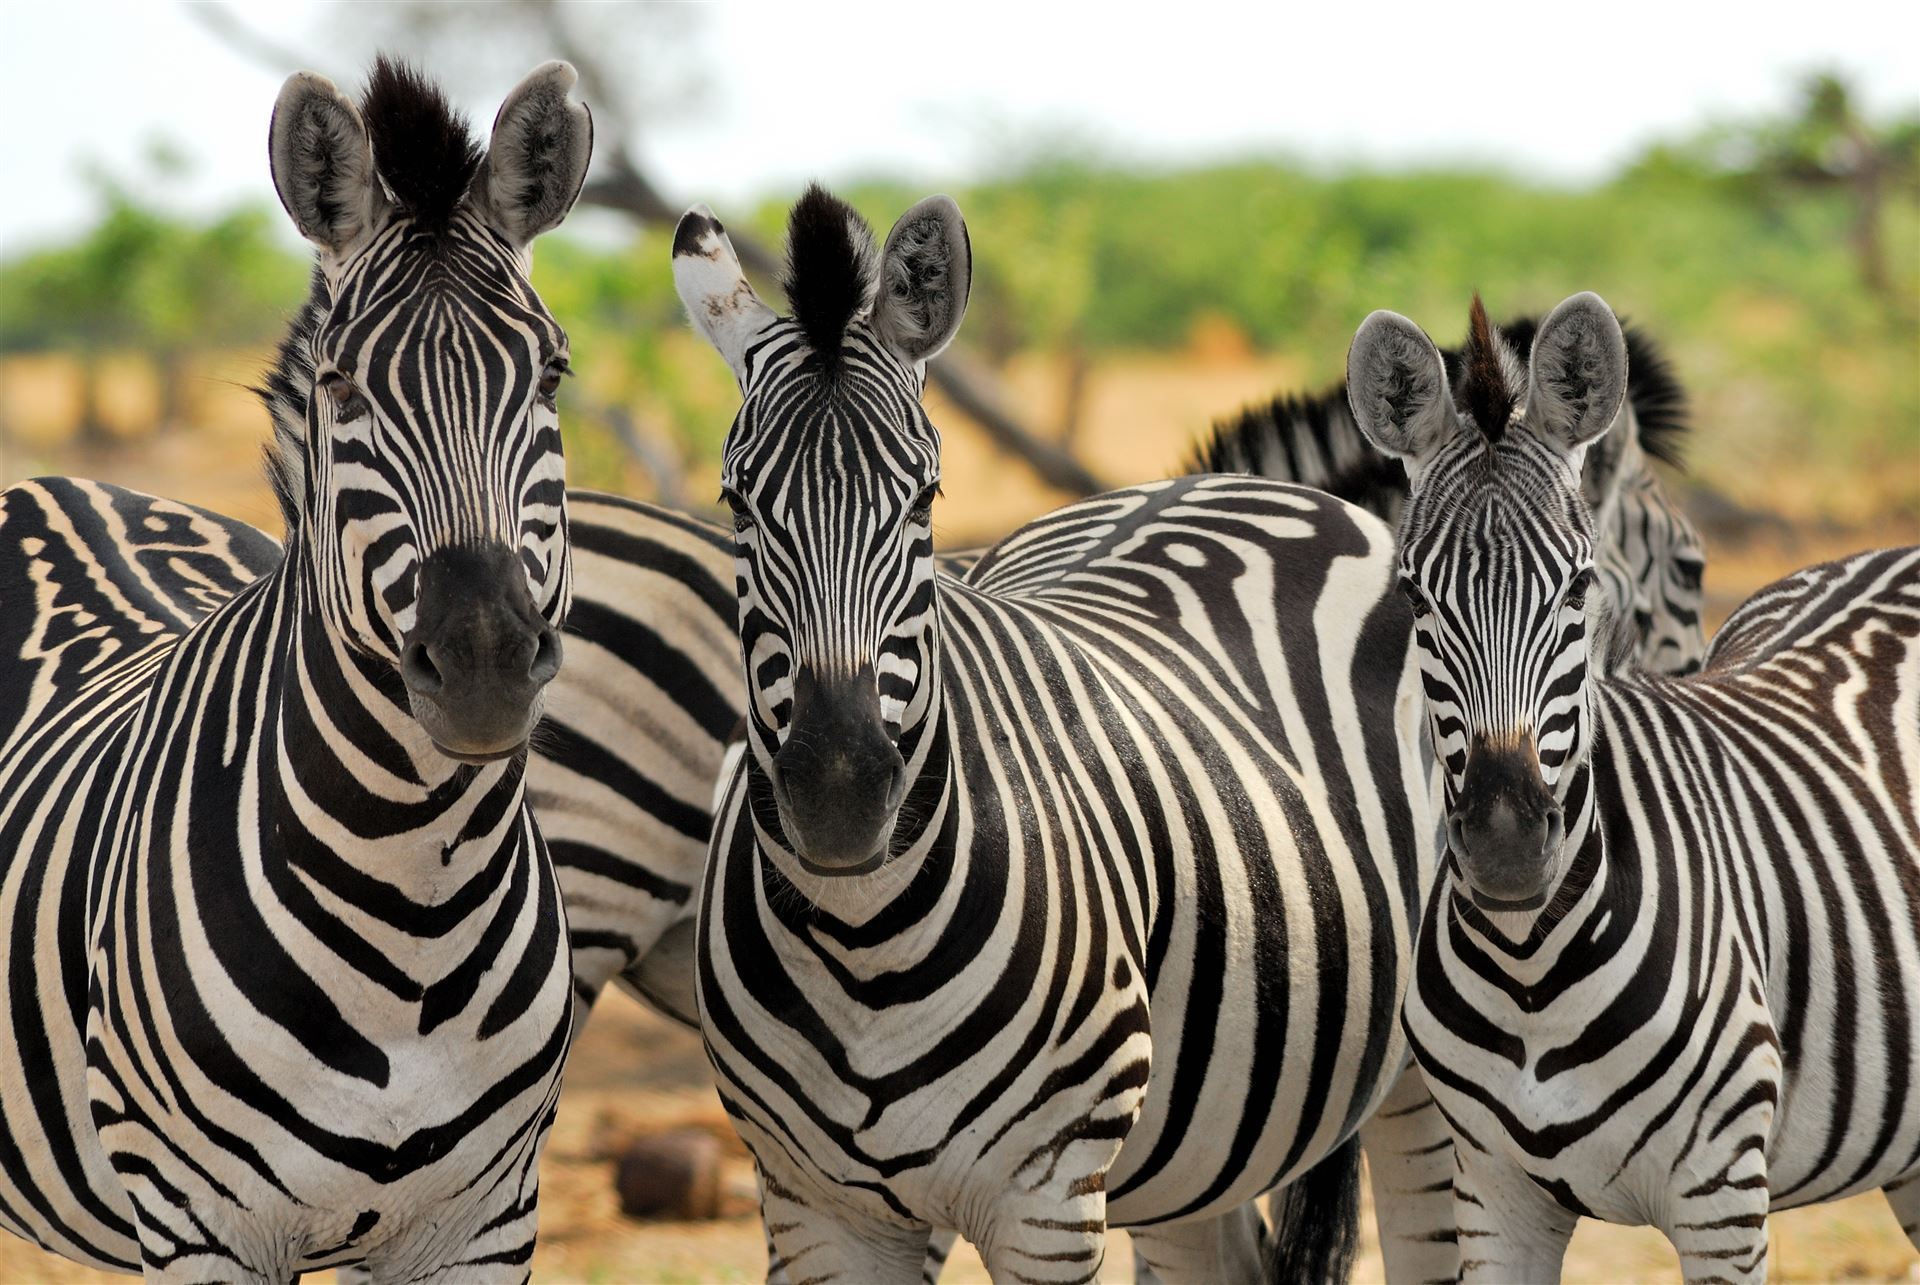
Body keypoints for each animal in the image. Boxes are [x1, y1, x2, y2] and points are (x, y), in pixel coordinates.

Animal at [0, 58, 592, 1281]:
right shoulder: (198, 1224)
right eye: (343, 386)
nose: (483, 664)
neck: (419, 903)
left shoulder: (488, 1223)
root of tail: (42, 486)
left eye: (552, 378)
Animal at [673, 183, 1457, 1283]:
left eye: (925, 499)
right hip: (1192, 1145)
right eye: (735, 504)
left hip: (1417, 1087)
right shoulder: (812, 1206)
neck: (862, 938)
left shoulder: (1042, 1201)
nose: (838, 793)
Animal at [1343, 289, 1920, 1281]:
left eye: (1578, 589)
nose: (1504, 844)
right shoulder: (1490, 1193)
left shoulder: (1721, 1198)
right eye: (1415, 600)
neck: (1529, 968)